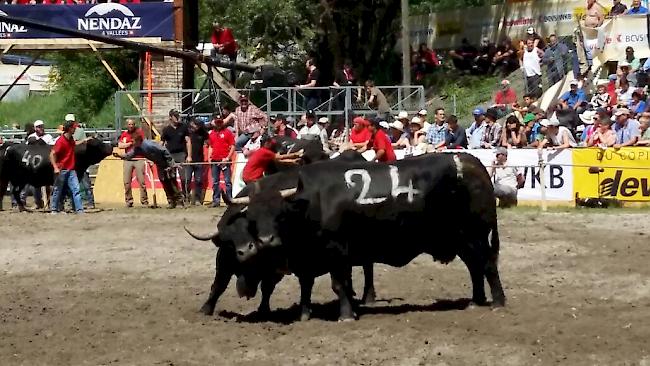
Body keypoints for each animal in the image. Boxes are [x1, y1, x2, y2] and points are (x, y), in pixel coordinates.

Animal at [210, 153, 504, 322]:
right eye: (253, 219)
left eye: (280, 214)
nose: (268, 241)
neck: (311, 201)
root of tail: (472, 163)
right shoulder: (310, 258)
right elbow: (310, 285)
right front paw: (307, 313)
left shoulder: (338, 251)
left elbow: (339, 284)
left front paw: (346, 315)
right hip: (462, 239)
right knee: (475, 268)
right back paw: (476, 302)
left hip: (475, 235)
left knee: (488, 265)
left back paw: (498, 302)